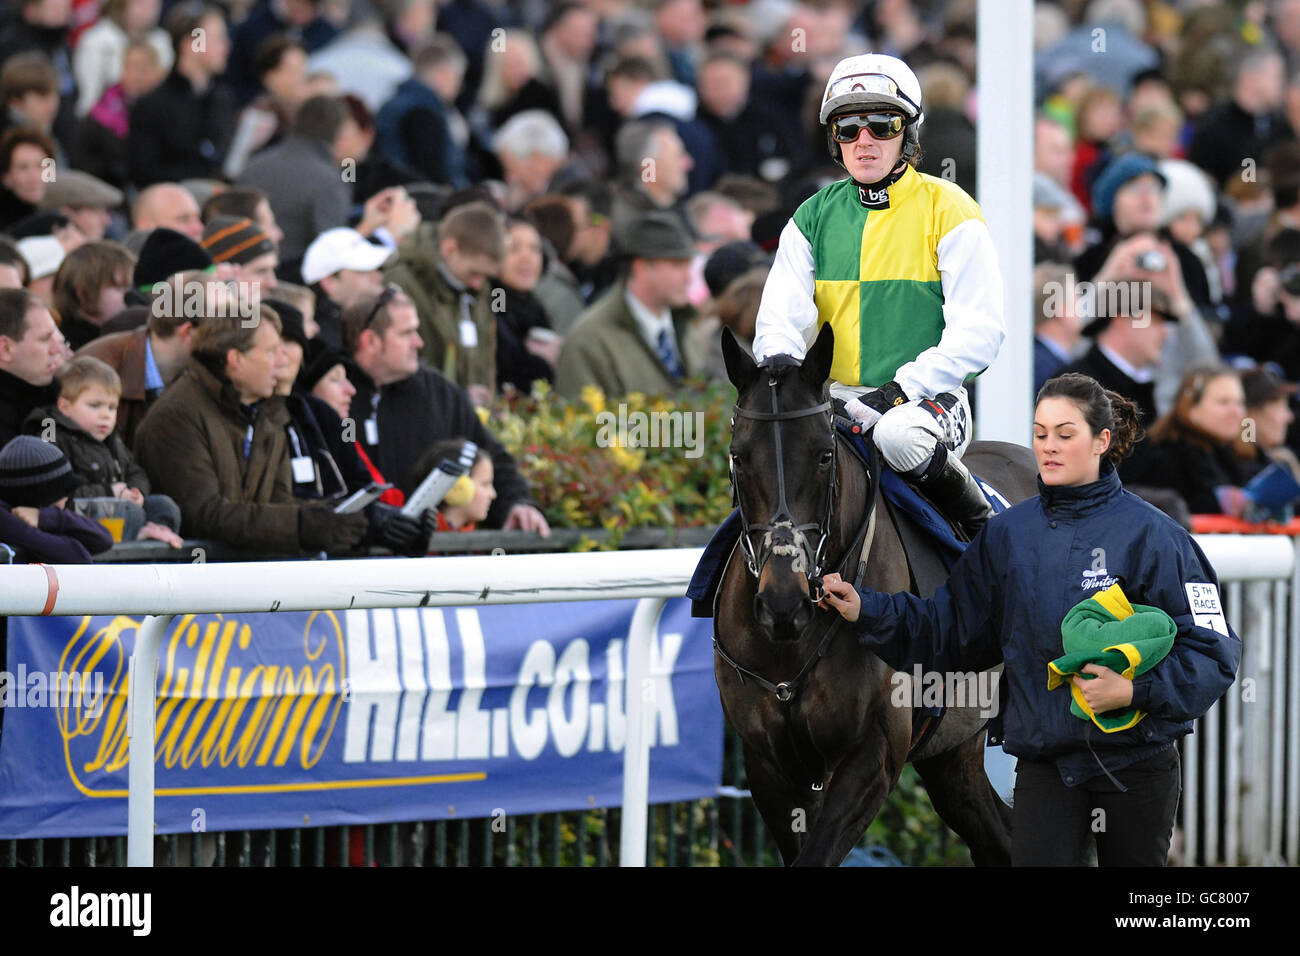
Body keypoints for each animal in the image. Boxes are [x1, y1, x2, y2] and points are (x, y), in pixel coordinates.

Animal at [712, 327, 1034, 868]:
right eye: (739, 456)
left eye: (824, 454)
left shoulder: (873, 756)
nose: (782, 604)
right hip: (954, 753)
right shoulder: (768, 765)